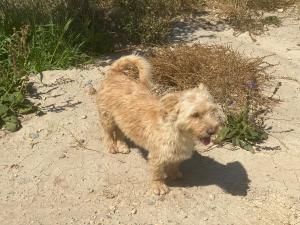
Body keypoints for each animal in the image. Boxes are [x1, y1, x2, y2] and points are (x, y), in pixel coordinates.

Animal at [96, 54, 220, 195]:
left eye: (213, 111)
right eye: (195, 115)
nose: (212, 131)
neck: (178, 132)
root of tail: (115, 73)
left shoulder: (176, 155)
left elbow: (174, 165)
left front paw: (174, 173)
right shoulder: (157, 156)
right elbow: (157, 173)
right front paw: (158, 186)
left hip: (122, 120)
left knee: (120, 132)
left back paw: (122, 146)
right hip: (107, 117)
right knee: (107, 132)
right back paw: (111, 146)